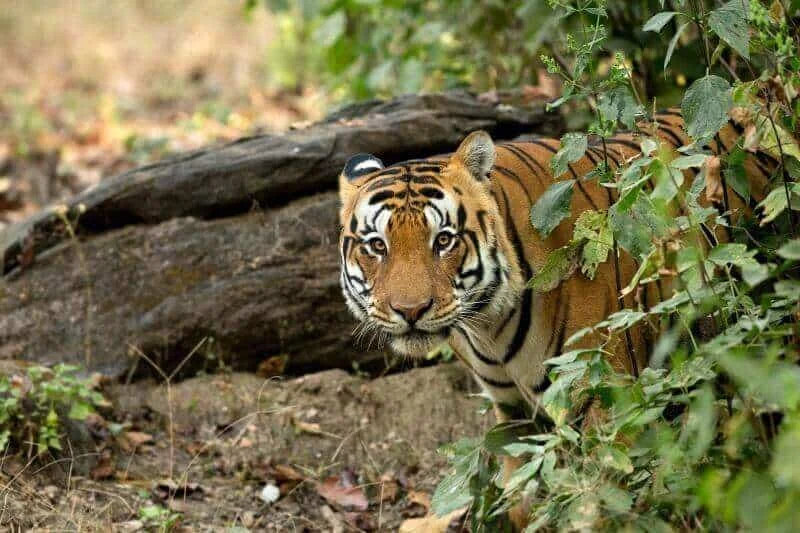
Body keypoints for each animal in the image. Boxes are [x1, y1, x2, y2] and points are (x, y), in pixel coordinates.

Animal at [336, 108, 776, 524]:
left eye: (443, 240)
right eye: (377, 246)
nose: (410, 310)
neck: (488, 326)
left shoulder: (605, 397)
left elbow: (598, 502)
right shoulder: (512, 411)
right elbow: (524, 499)